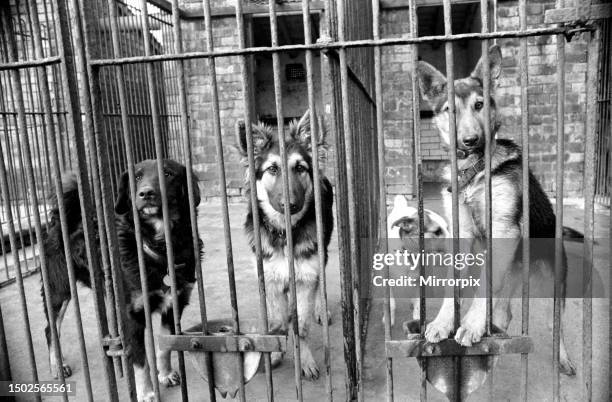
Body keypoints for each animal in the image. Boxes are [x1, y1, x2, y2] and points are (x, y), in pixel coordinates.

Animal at [41, 159, 203, 398]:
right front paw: (147, 394)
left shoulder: (175, 303)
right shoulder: (131, 316)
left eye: (168, 173)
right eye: (137, 177)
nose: (146, 193)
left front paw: (165, 375)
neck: (158, 247)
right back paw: (58, 365)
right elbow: (141, 363)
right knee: (51, 330)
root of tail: (65, 220)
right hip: (58, 292)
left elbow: (164, 347)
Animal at [238, 110, 334, 380]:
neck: (284, 232)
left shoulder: (306, 276)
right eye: (272, 169)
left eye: (300, 168)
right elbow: (279, 321)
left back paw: (321, 310)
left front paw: (305, 361)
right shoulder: (270, 279)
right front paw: (275, 352)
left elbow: (301, 324)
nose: (290, 205)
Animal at [416, 45, 580, 376]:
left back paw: (562, 357)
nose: (470, 141)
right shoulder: (463, 235)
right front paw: (443, 321)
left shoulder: (503, 231)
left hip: (552, 280)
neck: (475, 171)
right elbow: (453, 286)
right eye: (450, 110)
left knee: (555, 323)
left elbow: (483, 288)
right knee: (505, 312)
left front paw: (470, 324)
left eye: (479, 105)